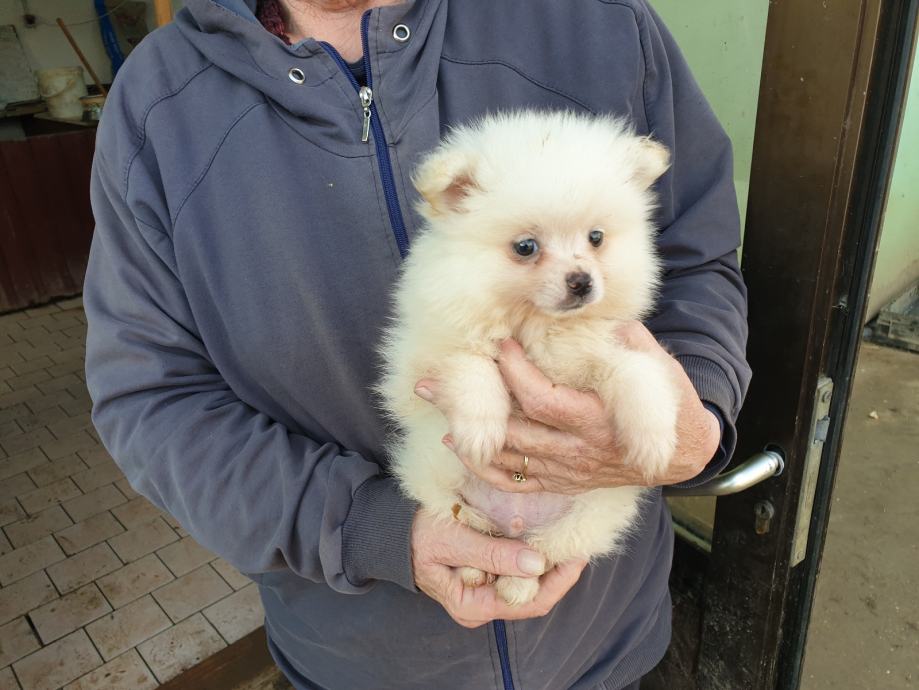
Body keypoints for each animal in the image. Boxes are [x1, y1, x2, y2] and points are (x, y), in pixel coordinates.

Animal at [378, 110, 679, 606]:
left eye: (596, 237)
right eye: (525, 247)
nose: (582, 281)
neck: (536, 326)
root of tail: (514, 524)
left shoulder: (602, 345)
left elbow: (635, 371)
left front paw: (653, 440)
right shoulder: (417, 359)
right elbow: (470, 363)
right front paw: (482, 429)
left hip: (589, 514)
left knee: (541, 553)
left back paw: (517, 583)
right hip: (438, 481)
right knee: (464, 526)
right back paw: (477, 567)